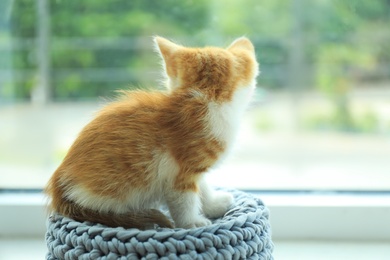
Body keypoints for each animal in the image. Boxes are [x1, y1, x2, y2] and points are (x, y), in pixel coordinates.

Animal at [45, 36, 258, 230]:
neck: (207, 96)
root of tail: (58, 188)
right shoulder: (180, 171)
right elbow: (185, 200)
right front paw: (192, 223)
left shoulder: (195, 168)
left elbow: (203, 186)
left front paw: (214, 205)